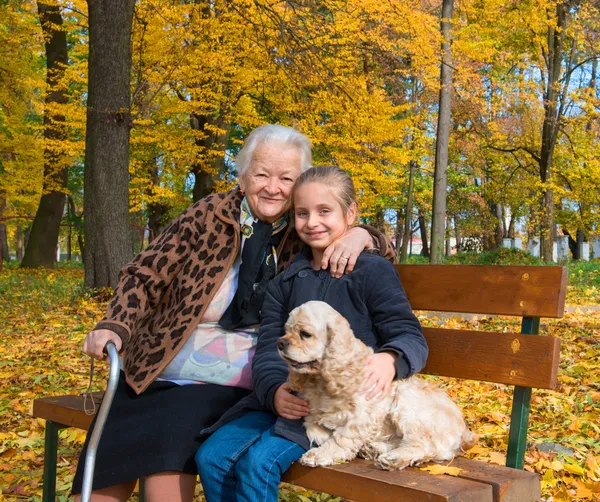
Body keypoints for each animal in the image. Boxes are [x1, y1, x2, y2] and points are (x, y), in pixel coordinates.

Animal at [278, 300, 478, 468]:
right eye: (286, 330)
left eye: (305, 334)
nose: (280, 342)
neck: (322, 379)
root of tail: (463, 432)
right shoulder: (311, 406)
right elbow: (311, 422)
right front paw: (321, 435)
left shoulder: (364, 413)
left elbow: (342, 437)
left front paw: (320, 454)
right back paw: (373, 449)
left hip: (407, 404)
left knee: (425, 445)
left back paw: (393, 459)